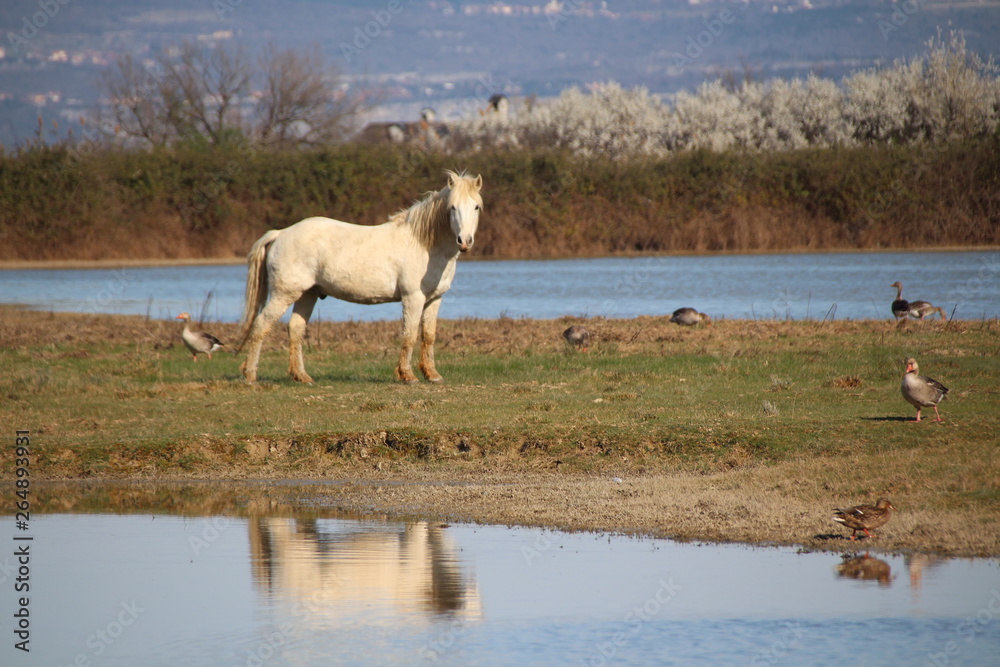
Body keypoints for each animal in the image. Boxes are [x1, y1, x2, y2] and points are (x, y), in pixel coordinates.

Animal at [235, 170, 483, 384]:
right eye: (452, 207)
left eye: (476, 207)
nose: (464, 242)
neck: (423, 245)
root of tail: (281, 234)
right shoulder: (413, 297)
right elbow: (410, 334)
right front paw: (408, 375)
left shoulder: (434, 299)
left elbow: (429, 335)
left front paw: (432, 375)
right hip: (284, 294)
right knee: (261, 326)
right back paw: (250, 375)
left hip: (308, 294)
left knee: (295, 329)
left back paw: (302, 377)